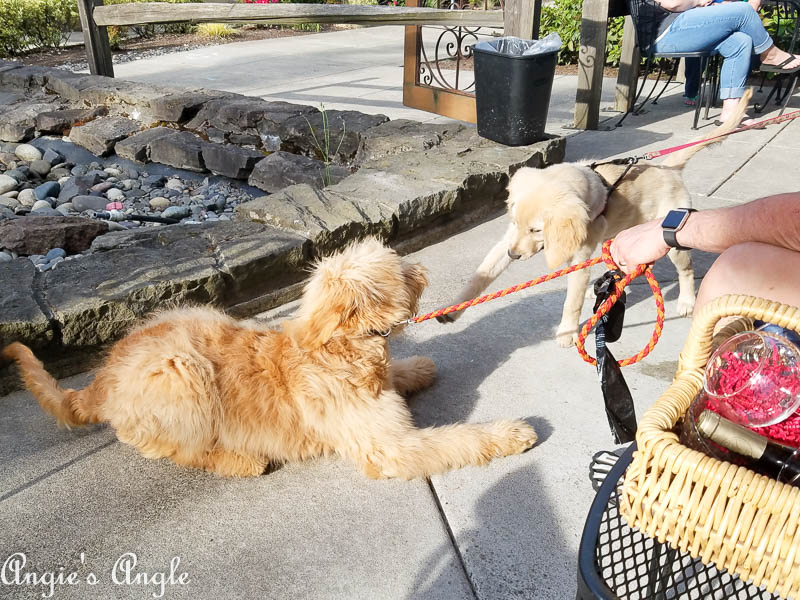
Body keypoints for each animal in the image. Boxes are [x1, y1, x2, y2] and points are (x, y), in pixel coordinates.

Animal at [3, 239, 536, 478]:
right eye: (394, 267)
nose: (419, 268)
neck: (339, 351)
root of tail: (101, 381)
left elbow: (400, 373)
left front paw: (416, 368)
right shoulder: (390, 448)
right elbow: (458, 439)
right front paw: (510, 433)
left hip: (194, 314)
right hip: (181, 375)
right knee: (174, 448)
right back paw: (240, 459)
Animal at [440, 92, 752, 350]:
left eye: (537, 230)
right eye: (515, 223)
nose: (513, 255)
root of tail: (667, 167)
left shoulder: (579, 258)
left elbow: (571, 301)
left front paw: (566, 333)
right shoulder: (507, 240)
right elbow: (481, 275)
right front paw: (452, 309)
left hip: (671, 236)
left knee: (685, 270)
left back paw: (686, 301)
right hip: (624, 236)